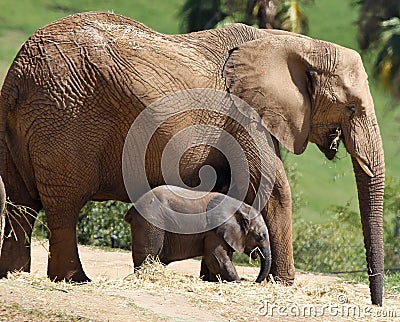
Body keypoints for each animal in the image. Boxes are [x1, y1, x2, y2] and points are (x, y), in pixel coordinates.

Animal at [124, 185, 272, 284]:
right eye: (260, 237)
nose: (254, 282)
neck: (240, 208)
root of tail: (132, 209)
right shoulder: (214, 231)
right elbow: (218, 259)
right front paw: (238, 282)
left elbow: (216, 258)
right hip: (151, 223)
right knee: (148, 255)